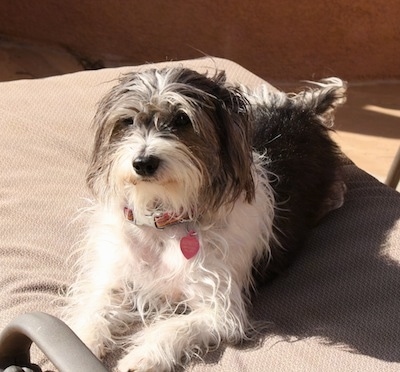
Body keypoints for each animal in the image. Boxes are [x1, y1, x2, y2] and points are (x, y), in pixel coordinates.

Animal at [62, 67, 346, 372]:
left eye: (182, 119)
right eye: (127, 121)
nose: (143, 163)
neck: (166, 221)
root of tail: (301, 109)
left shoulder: (221, 310)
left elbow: (175, 328)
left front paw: (142, 357)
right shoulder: (114, 277)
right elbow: (95, 309)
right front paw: (82, 341)